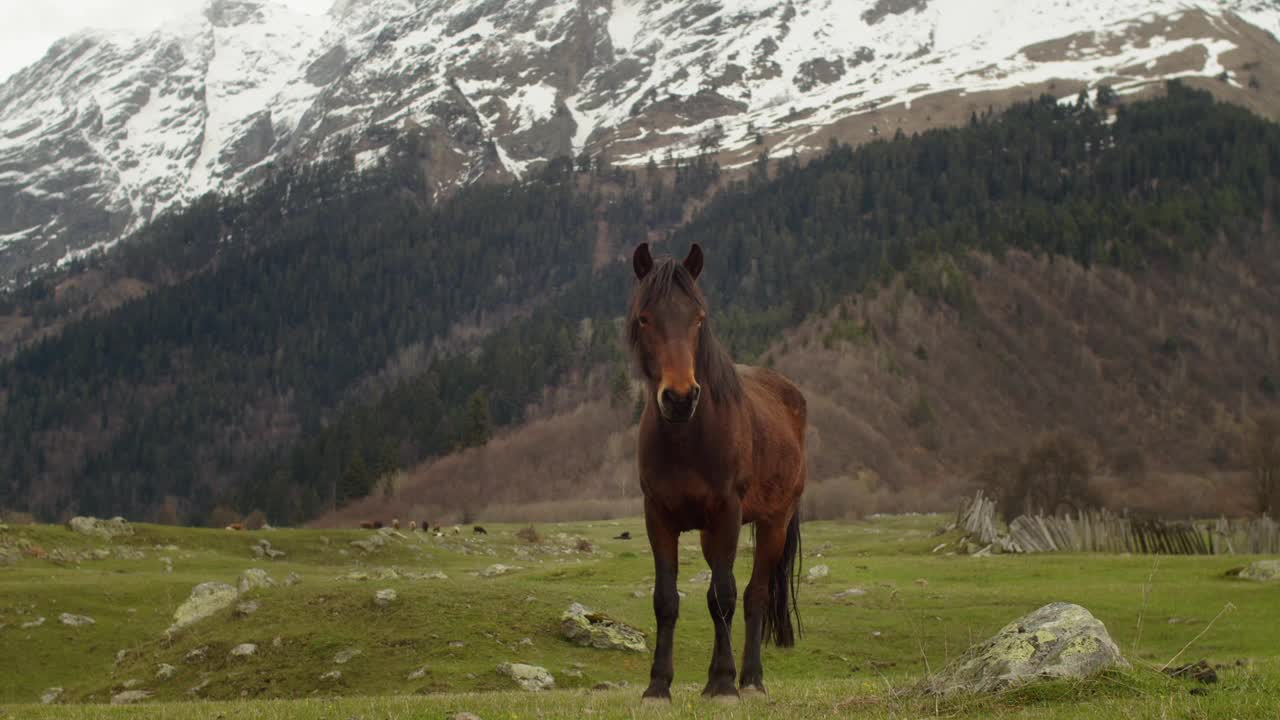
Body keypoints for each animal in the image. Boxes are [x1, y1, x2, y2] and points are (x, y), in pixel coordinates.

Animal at [627, 239, 803, 696]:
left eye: (699, 318)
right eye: (645, 318)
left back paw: (751, 680)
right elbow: (666, 599)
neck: (689, 437)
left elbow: (724, 597)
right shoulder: (658, 516)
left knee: (755, 596)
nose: (679, 397)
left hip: (774, 523)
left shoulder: (727, 513)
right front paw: (658, 686)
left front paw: (723, 684)